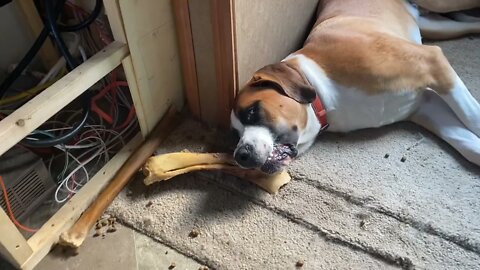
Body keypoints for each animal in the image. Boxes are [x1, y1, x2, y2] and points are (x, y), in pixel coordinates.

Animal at [231, 0, 478, 173]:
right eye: (235, 134)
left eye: (252, 111)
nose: (240, 155)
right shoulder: (426, 105)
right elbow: (469, 145)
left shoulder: (432, 62)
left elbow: (473, 117)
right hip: (438, 26)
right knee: (471, 25)